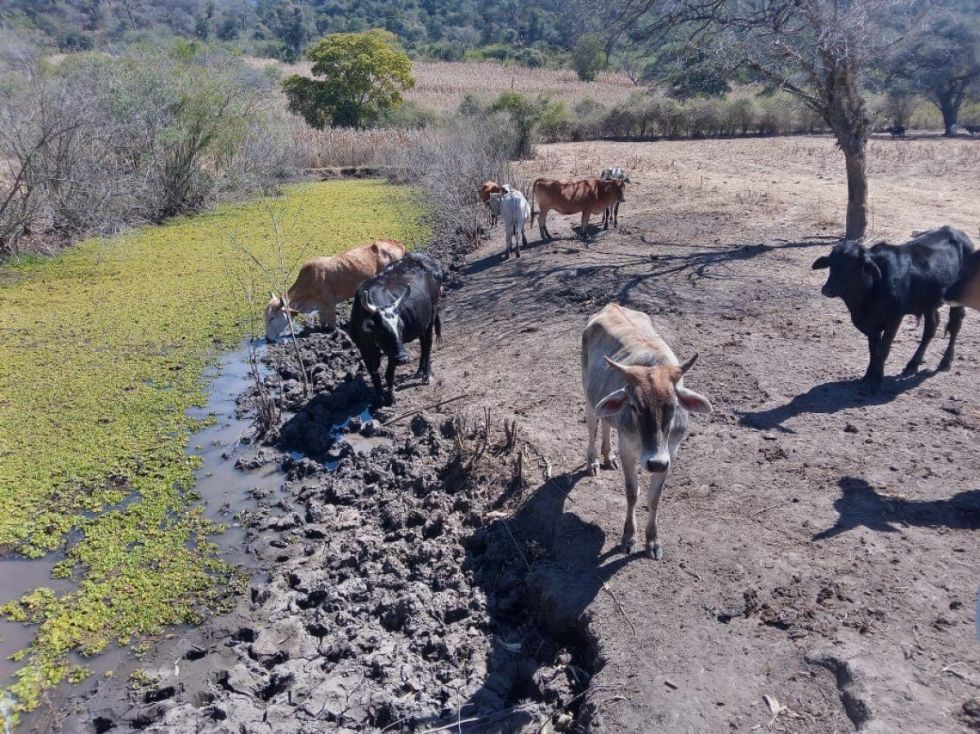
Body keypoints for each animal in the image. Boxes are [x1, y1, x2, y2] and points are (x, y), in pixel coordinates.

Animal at [262, 240, 404, 340]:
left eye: (272, 318)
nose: (267, 338)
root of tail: (397, 243)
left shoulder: (330, 306)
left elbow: (332, 328)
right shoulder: (321, 308)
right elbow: (322, 323)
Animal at [348, 254, 444, 406]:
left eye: (401, 328)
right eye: (382, 331)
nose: (404, 358)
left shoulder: (393, 351)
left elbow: (388, 374)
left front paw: (391, 398)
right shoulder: (364, 349)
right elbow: (374, 375)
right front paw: (379, 398)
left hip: (432, 311)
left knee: (428, 342)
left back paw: (427, 374)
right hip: (420, 321)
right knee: (423, 342)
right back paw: (419, 370)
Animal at [580, 304, 712, 564]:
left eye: (674, 406)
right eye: (634, 406)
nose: (655, 462)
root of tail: (611, 305)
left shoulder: (670, 452)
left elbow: (654, 497)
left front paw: (652, 541)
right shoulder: (628, 449)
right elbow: (633, 493)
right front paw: (629, 537)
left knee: (608, 425)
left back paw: (608, 457)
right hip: (589, 397)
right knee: (593, 427)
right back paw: (594, 461)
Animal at [812, 227, 972, 392]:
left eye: (852, 266)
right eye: (831, 264)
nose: (827, 290)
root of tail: (953, 230)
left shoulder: (895, 317)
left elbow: (883, 349)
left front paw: (877, 380)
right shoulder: (872, 324)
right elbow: (873, 349)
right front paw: (868, 376)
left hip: (958, 299)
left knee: (955, 326)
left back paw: (945, 361)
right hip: (929, 303)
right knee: (930, 328)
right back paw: (912, 364)